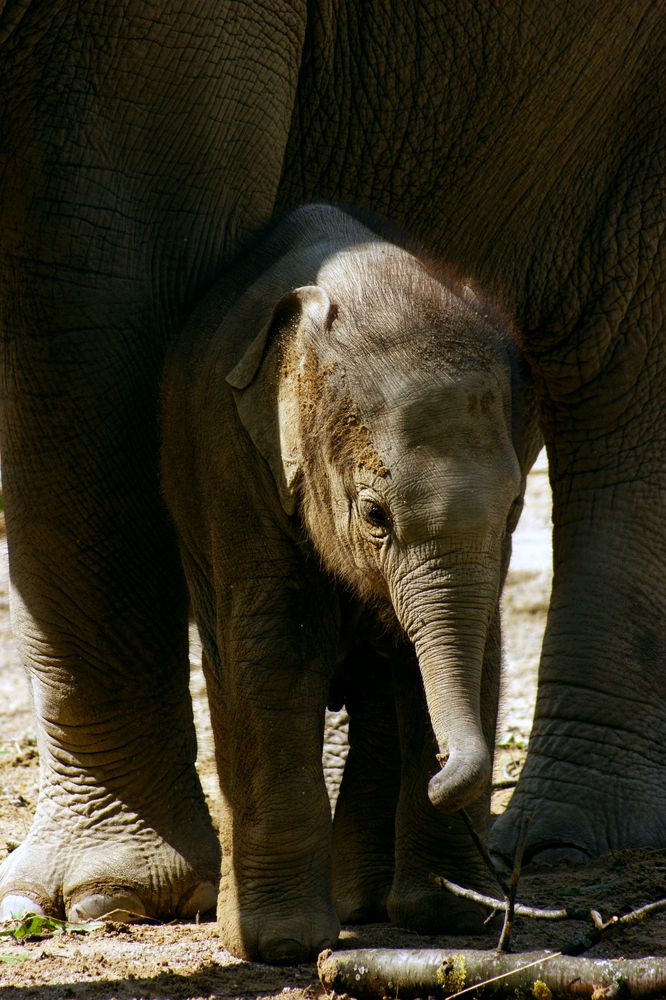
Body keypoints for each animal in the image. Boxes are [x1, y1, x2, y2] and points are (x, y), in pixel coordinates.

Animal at [162, 203, 540, 960]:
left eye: (517, 504)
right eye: (373, 514)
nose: (443, 767)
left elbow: (472, 647)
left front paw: (447, 916)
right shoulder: (234, 463)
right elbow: (276, 647)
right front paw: (281, 944)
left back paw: (369, 899)